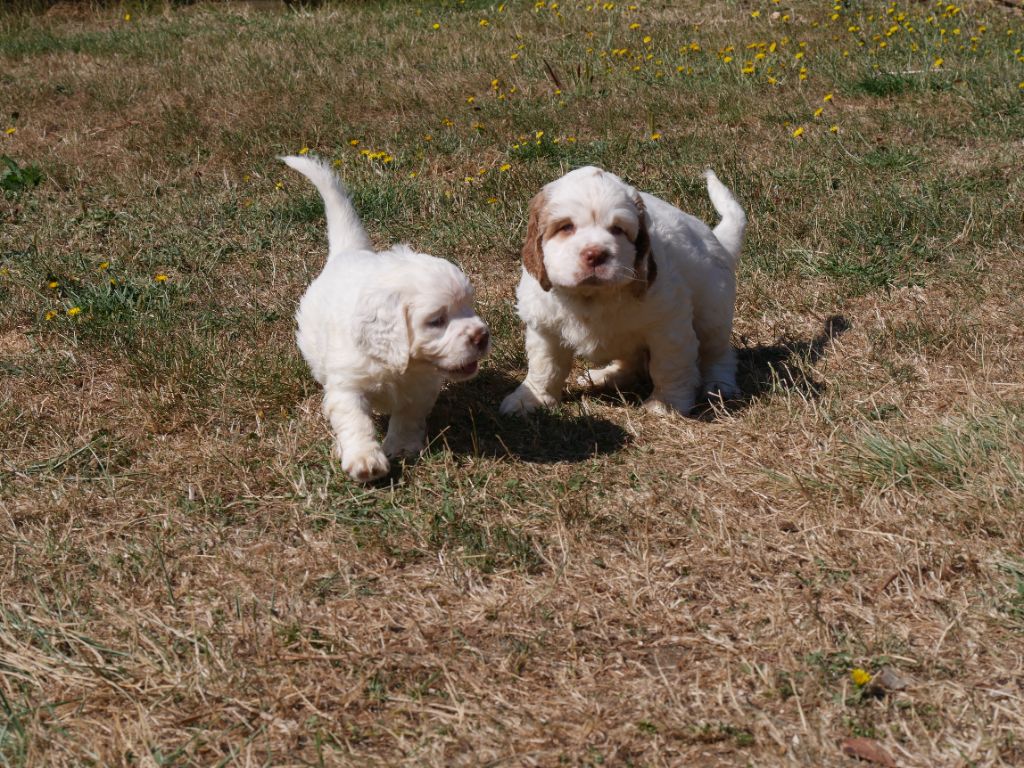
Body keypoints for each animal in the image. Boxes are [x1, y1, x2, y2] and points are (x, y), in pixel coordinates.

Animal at [280, 154, 487, 481]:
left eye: (469, 307)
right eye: (436, 321)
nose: (482, 336)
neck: (395, 363)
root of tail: (347, 252)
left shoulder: (421, 387)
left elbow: (407, 416)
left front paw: (401, 447)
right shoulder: (346, 385)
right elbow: (355, 421)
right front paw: (365, 459)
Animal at [501, 166, 749, 421]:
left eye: (617, 229)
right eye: (566, 227)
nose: (595, 254)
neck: (591, 297)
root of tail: (717, 241)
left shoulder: (668, 327)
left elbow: (669, 366)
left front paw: (665, 405)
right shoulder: (544, 329)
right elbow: (544, 367)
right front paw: (530, 399)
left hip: (713, 312)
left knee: (717, 353)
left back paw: (719, 386)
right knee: (630, 362)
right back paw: (604, 376)